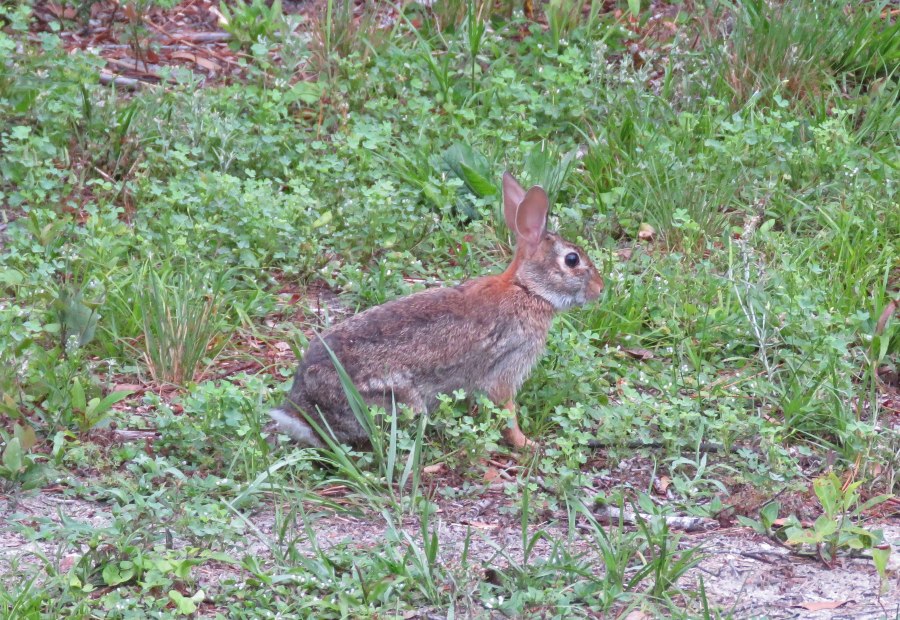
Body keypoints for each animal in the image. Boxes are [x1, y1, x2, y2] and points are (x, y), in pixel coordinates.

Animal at [268, 172, 604, 448]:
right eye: (572, 260)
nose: (600, 289)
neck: (527, 289)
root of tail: (303, 412)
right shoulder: (507, 367)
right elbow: (506, 411)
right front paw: (527, 445)